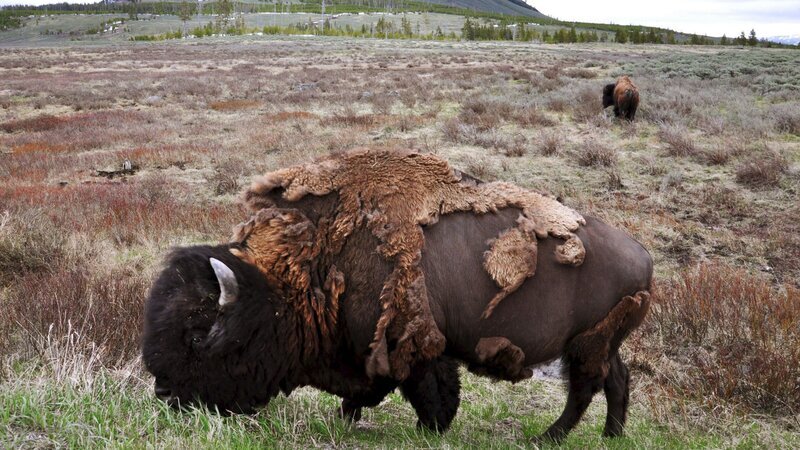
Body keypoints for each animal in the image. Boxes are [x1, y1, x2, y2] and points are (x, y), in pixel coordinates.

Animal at [142, 150, 652, 443]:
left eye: (199, 336)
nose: (165, 395)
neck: (311, 265)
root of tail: (643, 256)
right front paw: (348, 416)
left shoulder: (416, 343)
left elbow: (428, 390)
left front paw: (429, 430)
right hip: (600, 344)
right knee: (616, 380)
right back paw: (611, 436)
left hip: (585, 344)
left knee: (585, 389)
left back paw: (547, 438)